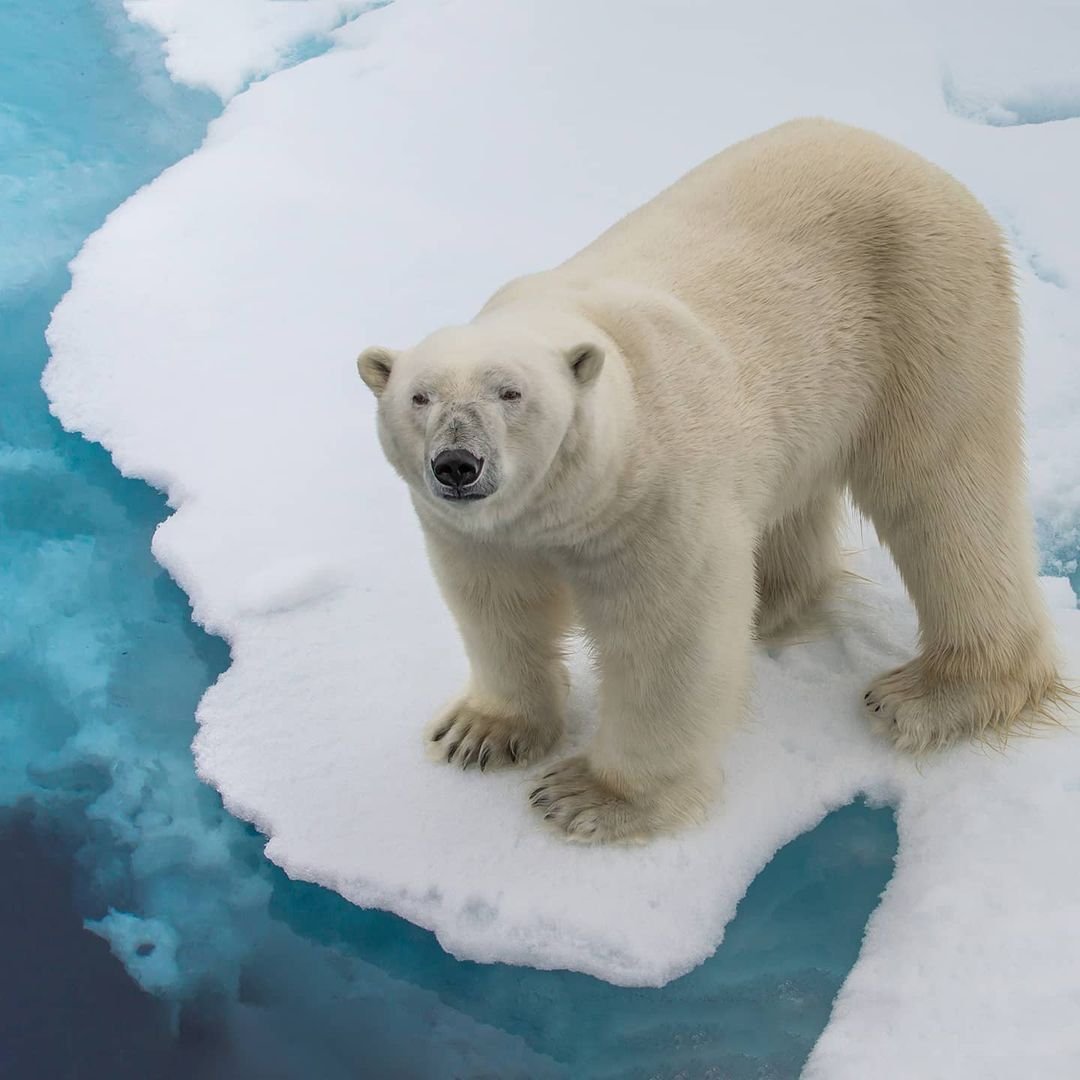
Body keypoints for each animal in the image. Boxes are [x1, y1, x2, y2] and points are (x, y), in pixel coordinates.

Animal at [355, 118, 1066, 844]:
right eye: (419, 397)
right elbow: (494, 605)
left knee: (941, 491)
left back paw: (930, 695)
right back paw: (774, 602)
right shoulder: (477, 532)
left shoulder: (653, 498)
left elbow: (668, 639)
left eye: (510, 393)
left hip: (927, 309)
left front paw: (588, 797)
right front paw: (478, 732)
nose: (457, 464)